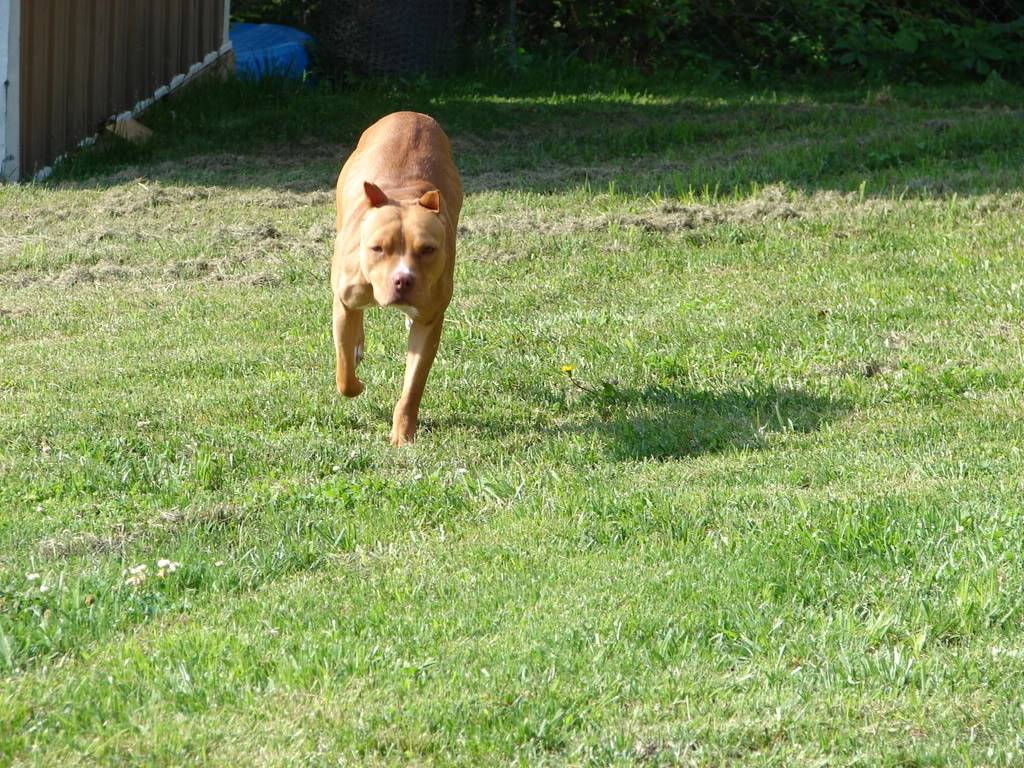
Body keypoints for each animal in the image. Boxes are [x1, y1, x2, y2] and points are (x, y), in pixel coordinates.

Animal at [329, 114, 462, 448]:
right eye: (378, 248)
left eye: (427, 249)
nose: (402, 280)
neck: (403, 197)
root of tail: (411, 114)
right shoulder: (345, 301)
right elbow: (344, 373)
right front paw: (356, 384)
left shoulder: (430, 321)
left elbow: (413, 386)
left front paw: (403, 434)